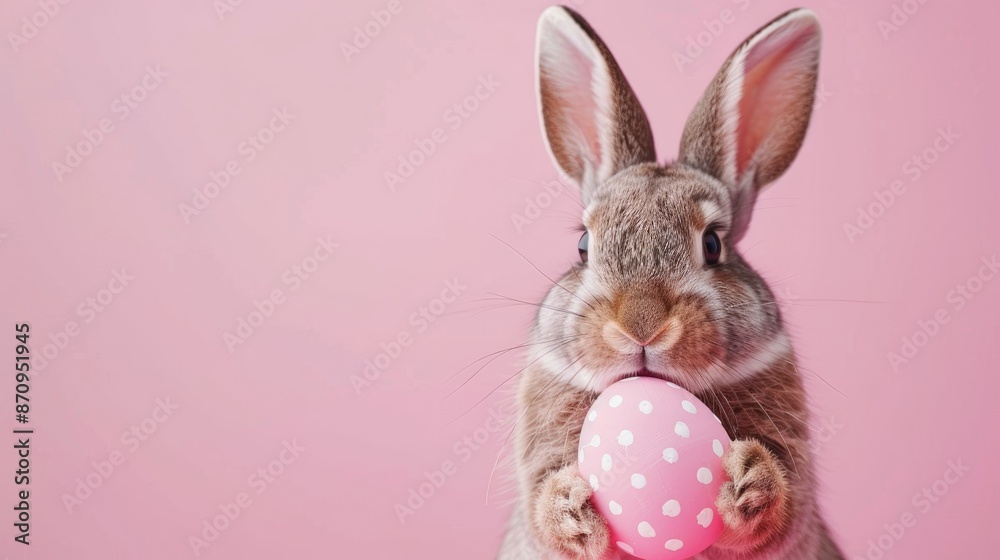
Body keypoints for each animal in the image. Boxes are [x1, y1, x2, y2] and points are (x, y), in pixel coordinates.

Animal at [497, 6, 844, 560]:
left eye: (713, 244)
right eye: (583, 246)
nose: (641, 325)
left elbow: (780, 506)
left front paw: (750, 478)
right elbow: (544, 506)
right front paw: (569, 505)